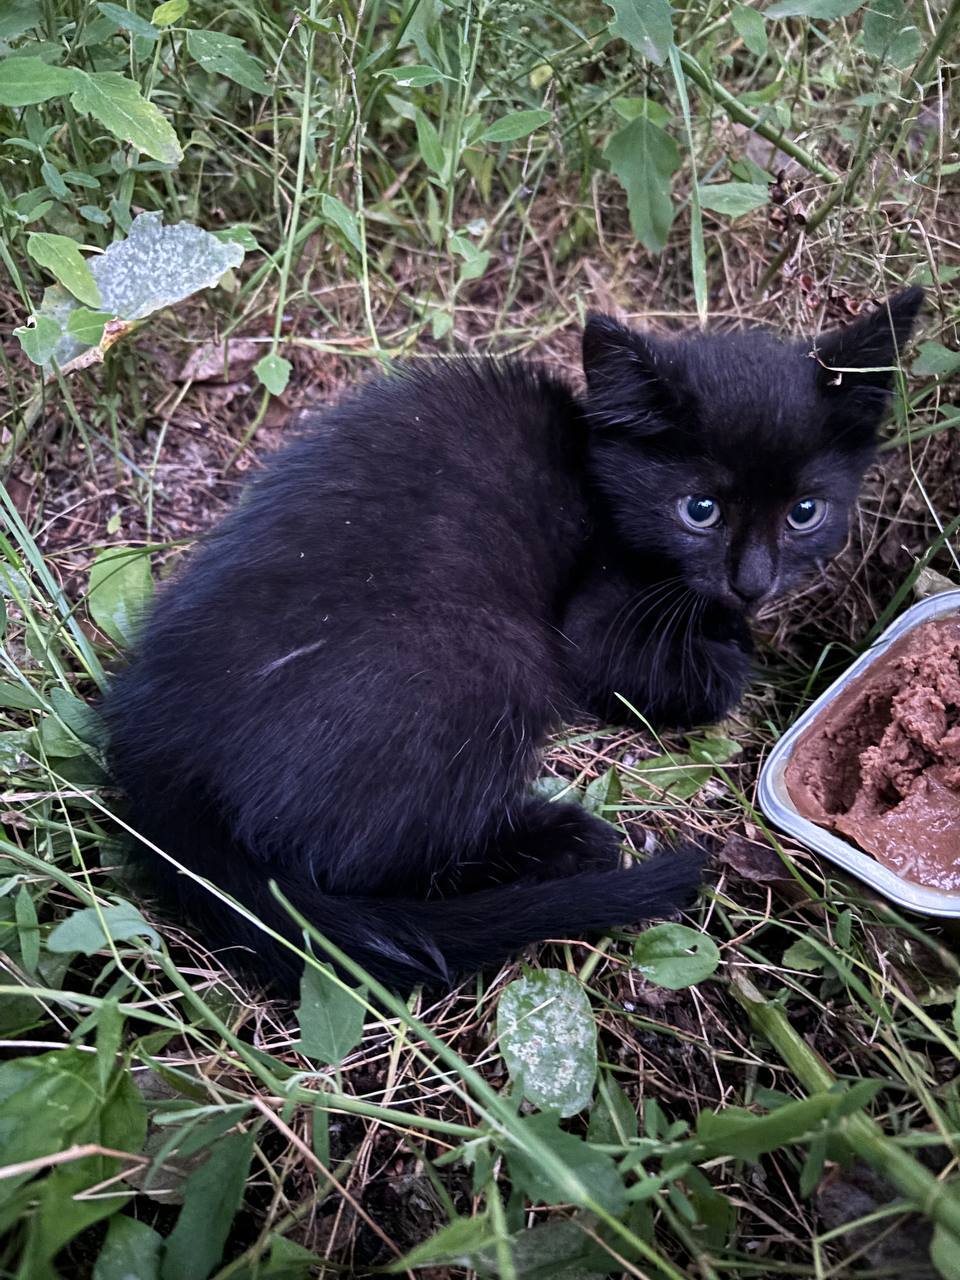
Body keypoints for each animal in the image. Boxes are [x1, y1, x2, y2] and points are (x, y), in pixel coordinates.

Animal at [103, 288, 926, 988]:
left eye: (805, 512)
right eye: (699, 509)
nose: (753, 583)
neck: (601, 478)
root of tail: (155, 754)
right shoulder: (593, 623)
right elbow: (694, 677)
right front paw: (731, 642)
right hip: (480, 657)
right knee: (359, 859)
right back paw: (561, 838)